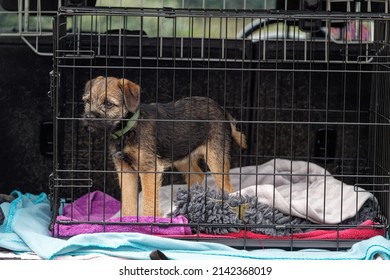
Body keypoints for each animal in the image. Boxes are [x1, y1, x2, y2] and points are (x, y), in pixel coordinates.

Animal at [82, 76, 247, 217]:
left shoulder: (149, 169)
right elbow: (128, 202)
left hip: (215, 157)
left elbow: (149, 201)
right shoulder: (125, 170)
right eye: (87, 101)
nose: (88, 117)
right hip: (183, 158)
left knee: (228, 188)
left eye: (108, 104)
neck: (129, 127)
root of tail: (222, 111)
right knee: (197, 176)